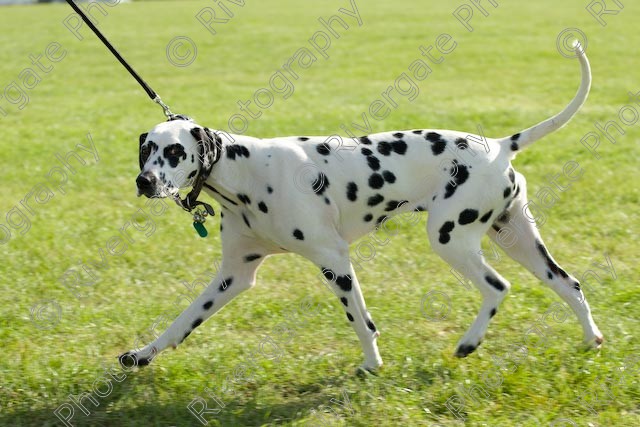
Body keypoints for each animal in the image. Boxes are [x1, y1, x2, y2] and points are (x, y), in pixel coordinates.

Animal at [121, 42, 604, 372]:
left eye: (175, 152)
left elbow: (360, 321)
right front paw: (143, 354)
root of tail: (502, 145)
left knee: (498, 287)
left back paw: (469, 342)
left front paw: (372, 364)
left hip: (451, 239)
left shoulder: (334, 261)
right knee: (570, 285)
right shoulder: (233, 276)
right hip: (517, 240)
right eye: (146, 150)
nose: (145, 181)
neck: (247, 173)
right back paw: (592, 340)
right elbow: (181, 322)